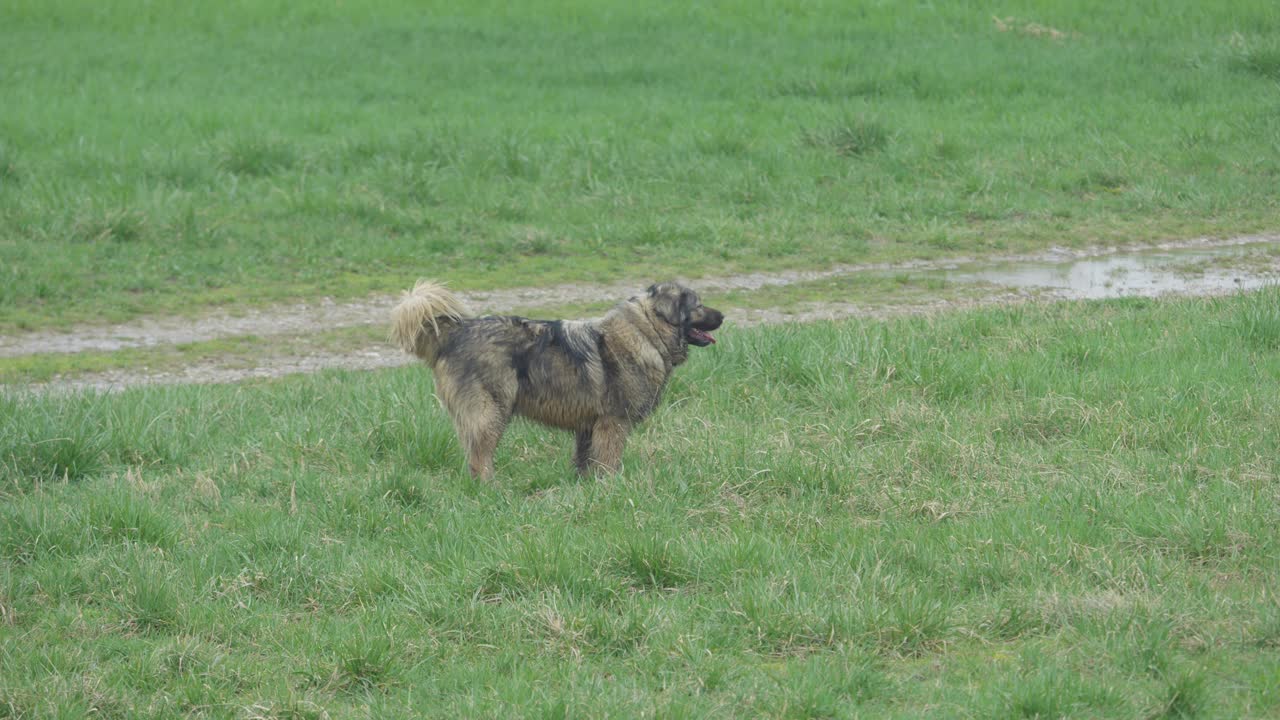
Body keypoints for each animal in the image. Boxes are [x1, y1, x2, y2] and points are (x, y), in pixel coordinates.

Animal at [389, 280, 727, 476]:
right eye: (698, 305)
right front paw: (612, 487)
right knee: (479, 459)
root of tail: (456, 333)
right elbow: (609, 461)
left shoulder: (589, 426)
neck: (646, 334)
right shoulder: (613, 423)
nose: (723, 316)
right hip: (490, 413)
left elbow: (585, 461)